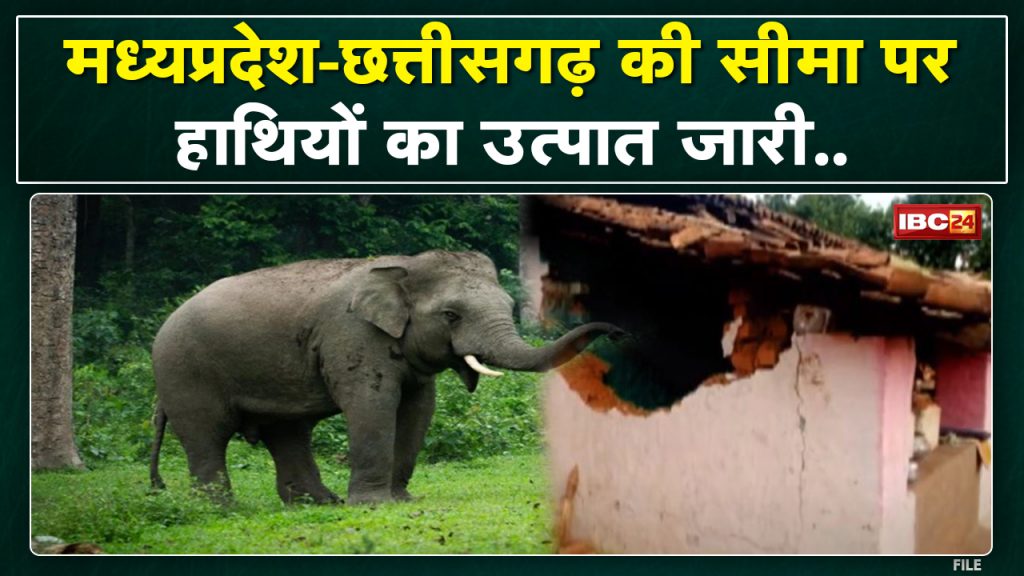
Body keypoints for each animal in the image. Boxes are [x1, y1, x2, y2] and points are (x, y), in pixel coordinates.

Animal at [149, 250, 620, 505]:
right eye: (451, 315)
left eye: (508, 305)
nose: (620, 332)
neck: (403, 267)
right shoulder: (353, 334)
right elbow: (373, 403)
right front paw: (372, 505)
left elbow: (418, 410)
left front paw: (403, 499)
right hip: (184, 371)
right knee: (207, 435)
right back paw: (221, 509)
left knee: (286, 432)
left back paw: (319, 503)